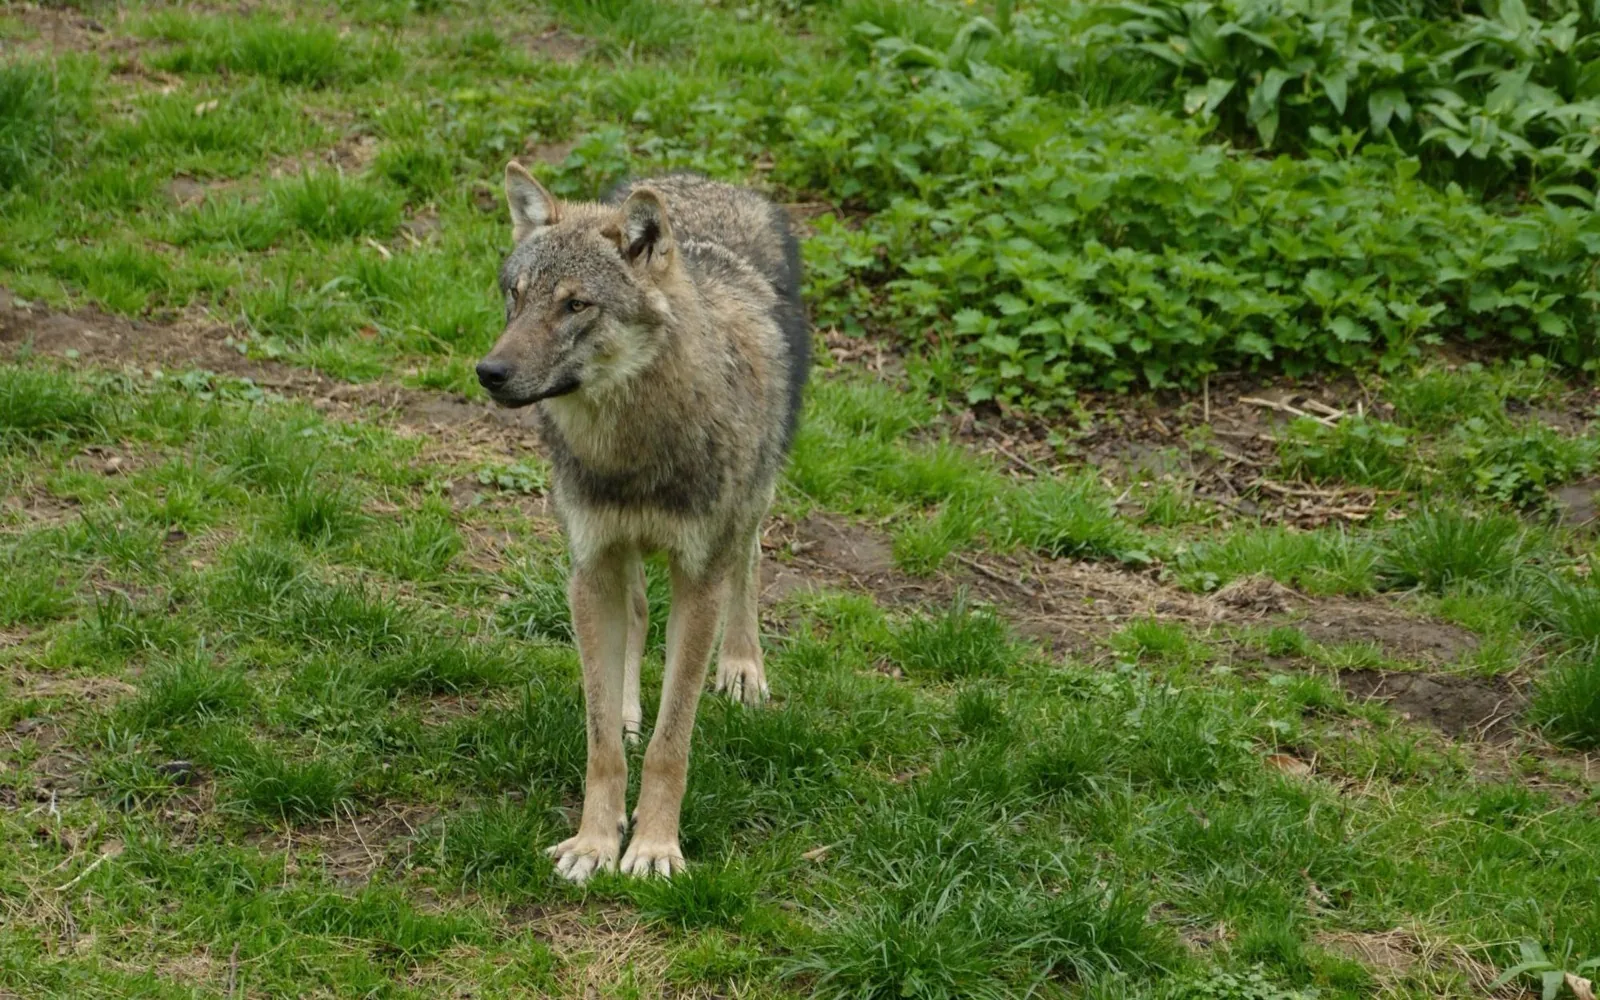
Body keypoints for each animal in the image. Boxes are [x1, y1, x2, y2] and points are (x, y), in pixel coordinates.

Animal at [475, 163, 809, 880]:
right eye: (516, 296)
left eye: (576, 305)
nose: (489, 372)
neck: (631, 452)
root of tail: (702, 180)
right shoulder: (589, 567)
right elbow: (601, 740)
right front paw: (595, 843)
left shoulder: (699, 581)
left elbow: (670, 743)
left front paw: (655, 847)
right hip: (616, 559)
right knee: (634, 614)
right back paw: (632, 708)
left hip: (753, 499)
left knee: (751, 559)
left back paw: (743, 668)